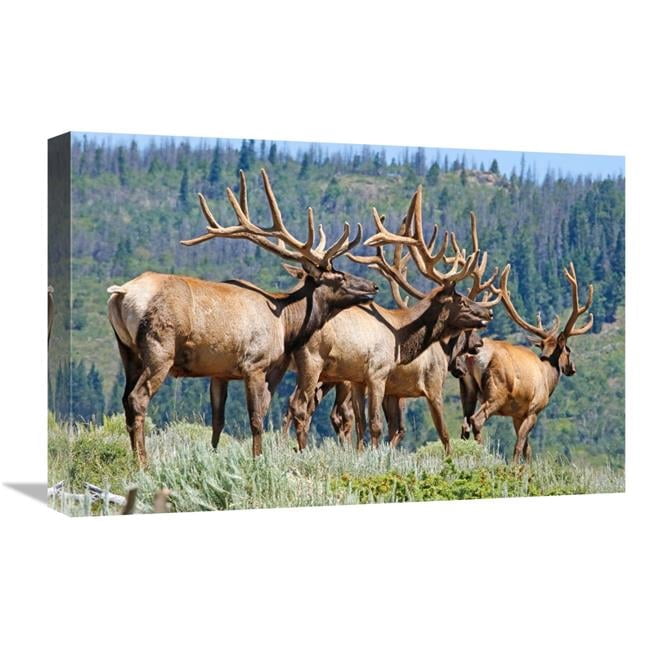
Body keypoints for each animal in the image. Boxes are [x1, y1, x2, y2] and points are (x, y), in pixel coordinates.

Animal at [107, 169, 378, 463]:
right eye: (339, 277)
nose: (373, 287)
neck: (286, 325)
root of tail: (121, 293)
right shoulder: (255, 364)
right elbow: (257, 419)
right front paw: (257, 459)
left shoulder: (219, 372)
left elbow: (218, 422)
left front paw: (213, 456)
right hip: (159, 348)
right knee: (138, 399)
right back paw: (143, 463)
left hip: (127, 351)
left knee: (125, 400)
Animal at [284, 187, 496, 452]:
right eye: (462, 301)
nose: (488, 314)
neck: (401, 335)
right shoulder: (389, 377)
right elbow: (432, 433)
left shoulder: (361, 381)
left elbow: (364, 426)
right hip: (314, 364)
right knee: (302, 407)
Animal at [458, 262, 594, 463]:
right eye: (568, 350)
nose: (572, 368)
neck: (548, 377)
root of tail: (473, 355)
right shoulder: (533, 409)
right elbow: (519, 445)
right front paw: (515, 467)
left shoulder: (518, 414)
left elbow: (527, 449)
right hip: (496, 390)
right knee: (477, 420)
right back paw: (481, 455)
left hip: (467, 387)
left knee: (464, 424)